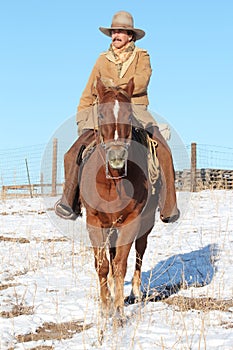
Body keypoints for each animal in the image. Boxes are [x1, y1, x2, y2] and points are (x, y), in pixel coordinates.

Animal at [79, 78, 159, 324]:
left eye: (129, 114)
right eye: (101, 114)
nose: (116, 156)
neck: (112, 182)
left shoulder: (131, 221)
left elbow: (120, 265)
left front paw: (120, 313)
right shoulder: (94, 222)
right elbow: (103, 266)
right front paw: (106, 308)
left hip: (145, 223)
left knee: (140, 253)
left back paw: (134, 293)